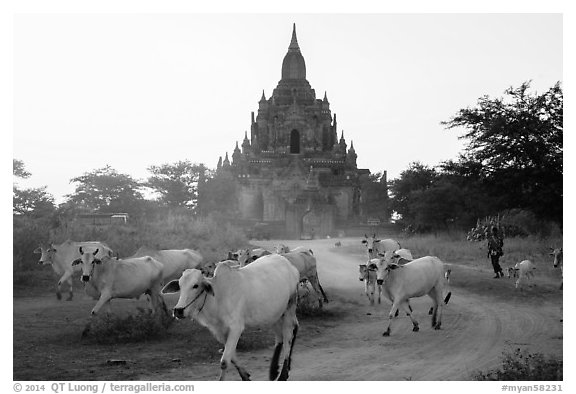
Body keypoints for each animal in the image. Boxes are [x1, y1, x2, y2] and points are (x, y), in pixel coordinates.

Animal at [160, 254, 300, 380]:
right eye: (180, 285)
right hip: (273, 313)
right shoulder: (218, 331)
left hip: (289, 307)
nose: (178, 310)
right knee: (279, 338)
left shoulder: (236, 327)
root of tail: (289, 264)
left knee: (288, 335)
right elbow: (231, 357)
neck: (217, 298)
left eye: (195, 285)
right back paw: (274, 371)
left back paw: (283, 374)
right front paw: (245, 376)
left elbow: (224, 362)